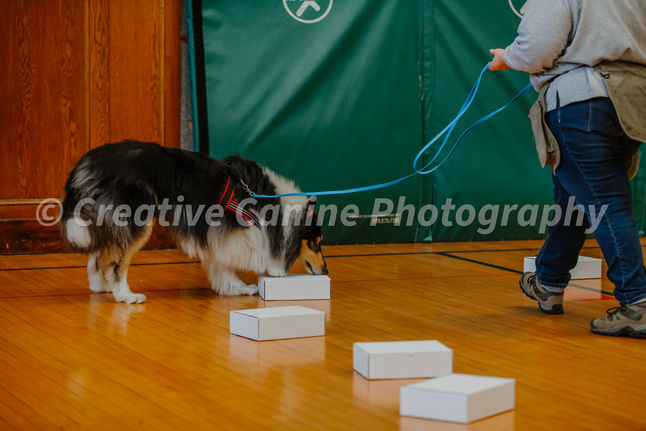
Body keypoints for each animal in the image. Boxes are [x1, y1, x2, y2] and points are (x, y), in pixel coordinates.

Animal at [61, 140, 328, 303]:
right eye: (315, 242)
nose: (325, 271)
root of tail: (90, 161)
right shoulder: (234, 232)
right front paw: (241, 284)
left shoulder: (218, 234)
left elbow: (221, 263)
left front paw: (235, 288)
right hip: (137, 219)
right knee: (118, 262)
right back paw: (126, 295)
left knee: (98, 256)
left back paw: (101, 286)